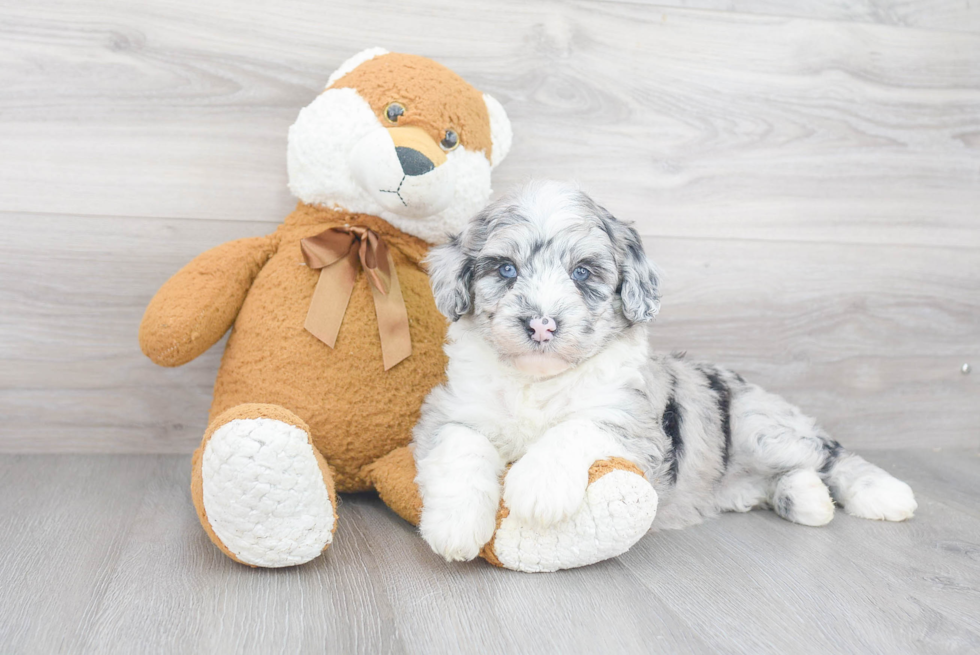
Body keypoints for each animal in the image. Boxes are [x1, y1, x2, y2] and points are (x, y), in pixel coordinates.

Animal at [416, 182, 920, 560]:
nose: (541, 324)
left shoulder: (637, 423)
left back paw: (884, 493)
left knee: (829, 453)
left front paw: (539, 486)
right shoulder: (449, 409)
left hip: (761, 427)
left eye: (582, 273)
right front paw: (454, 527)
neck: (538, 382)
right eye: (505, 269)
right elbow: (461, 444)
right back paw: (805, 498)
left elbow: (578, 426)